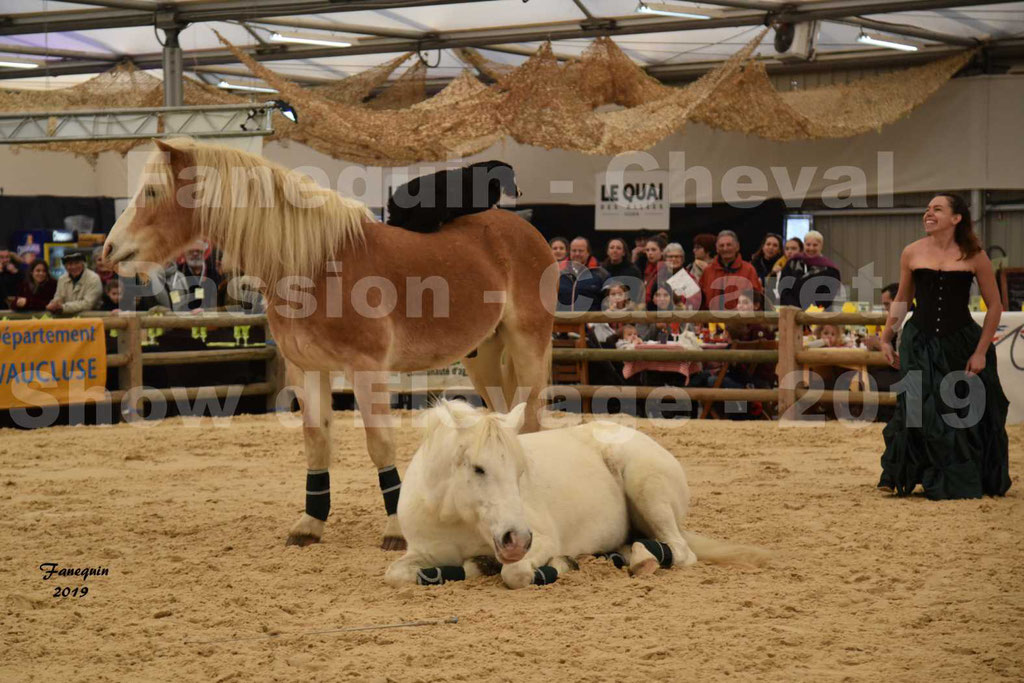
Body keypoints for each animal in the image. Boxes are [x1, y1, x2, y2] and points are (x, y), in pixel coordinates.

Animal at [99, 139, 557, 548]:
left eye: (152, 191)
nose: (110, 249)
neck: (315, 266)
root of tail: (526, 232)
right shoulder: (308, 369)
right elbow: (316, 442)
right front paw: (310, 524)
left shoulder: (366, 369)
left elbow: (379, 443)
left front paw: (395, 529)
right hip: (484, 356)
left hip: (527, 346)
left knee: (532, 421)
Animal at [385, 401, 770, 589]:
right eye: (478, 469)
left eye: (520, 471)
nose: (516, 539)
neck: (453, 515)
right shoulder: (420, 553)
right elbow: (397, 574)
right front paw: (474, 566)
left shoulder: (541, 540)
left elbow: (516, 574)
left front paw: (557, 566)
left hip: (649, 490)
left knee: (680, 550)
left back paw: (643, 560)